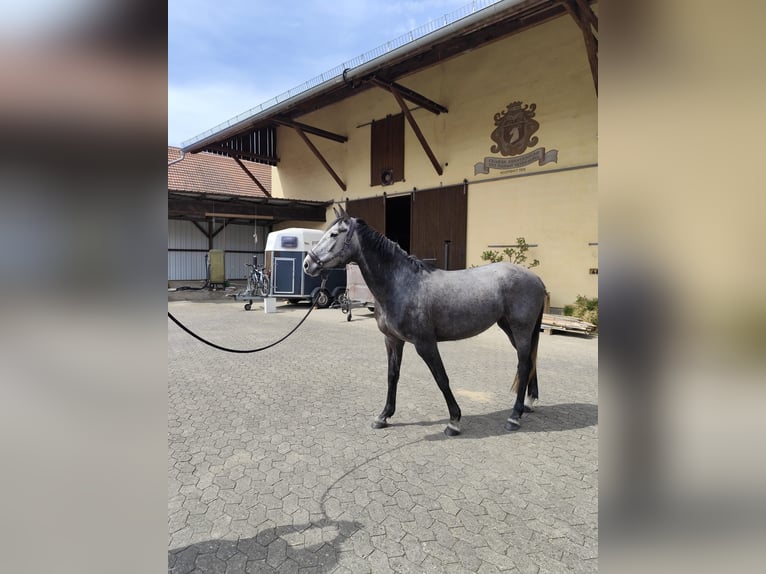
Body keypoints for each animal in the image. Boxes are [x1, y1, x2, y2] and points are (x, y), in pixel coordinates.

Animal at [304, 205, 547, 436]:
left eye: (334, 234)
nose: (307, 264)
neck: (401, 284)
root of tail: (536, 278)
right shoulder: (392, 340)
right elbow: (392, 376)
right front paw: (383, 416)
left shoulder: (425, 344)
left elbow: (441, 378)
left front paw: (454, 421)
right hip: (510, 328)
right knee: (530, 361)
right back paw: (527, 404)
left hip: (521, 329)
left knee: (524, 364)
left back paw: (514, 417)